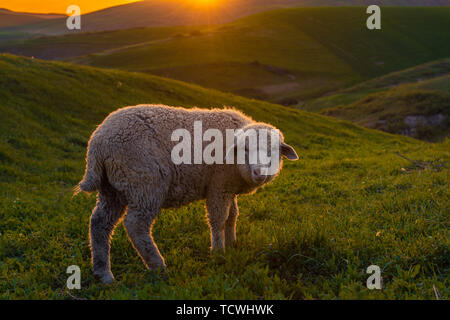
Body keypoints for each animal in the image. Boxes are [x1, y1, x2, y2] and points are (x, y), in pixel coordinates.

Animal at [75, 104, 298, 284]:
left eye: (274, 151)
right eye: (245, 149)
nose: (259, 173)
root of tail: (98, 142)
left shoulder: (228, 188)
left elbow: (232, 216)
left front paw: (232, 243)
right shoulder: (218, 185)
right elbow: (219, 219)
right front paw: (218, 252)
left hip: (112, 188)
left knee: (99, 223)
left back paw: (103, 273)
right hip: (145, 183)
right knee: (135, 225)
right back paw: (159, 267)